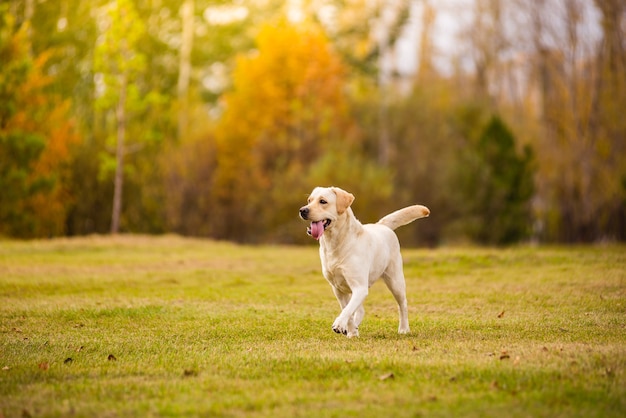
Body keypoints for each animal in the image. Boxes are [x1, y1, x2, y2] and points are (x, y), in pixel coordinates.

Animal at [298, 188, 428, 338]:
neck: (336, 243)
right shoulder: (338, 289)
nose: (303, 210)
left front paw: (339, 324)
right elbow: (348, 309)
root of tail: (381, 225)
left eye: (323, 201)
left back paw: (404, 329)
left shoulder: (360, 287)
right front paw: (351, 331)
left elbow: (347, 310)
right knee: (360, 310)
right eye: (309, 200)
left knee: (403, 304)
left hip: (395, 281)